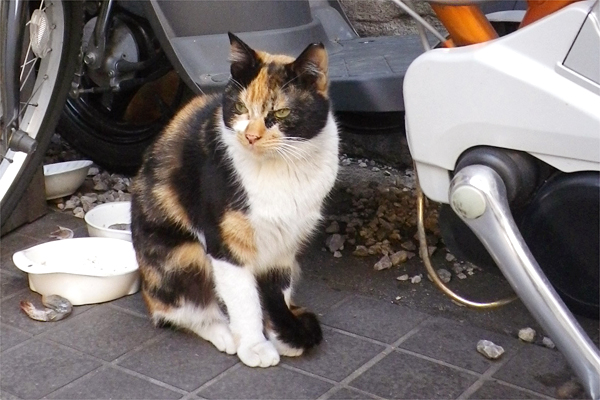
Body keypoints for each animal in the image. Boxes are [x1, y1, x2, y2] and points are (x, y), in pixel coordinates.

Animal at [130, 32, 338, 368]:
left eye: (280, 113)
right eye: (240, 106)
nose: (251, 136)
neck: (282, 169)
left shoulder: (285, 246)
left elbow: (278, 293)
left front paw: (281, 334)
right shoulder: (225, 244)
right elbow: (245, 299)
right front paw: (255, 346)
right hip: (183, 255)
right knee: (178, 310)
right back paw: (225, 333)